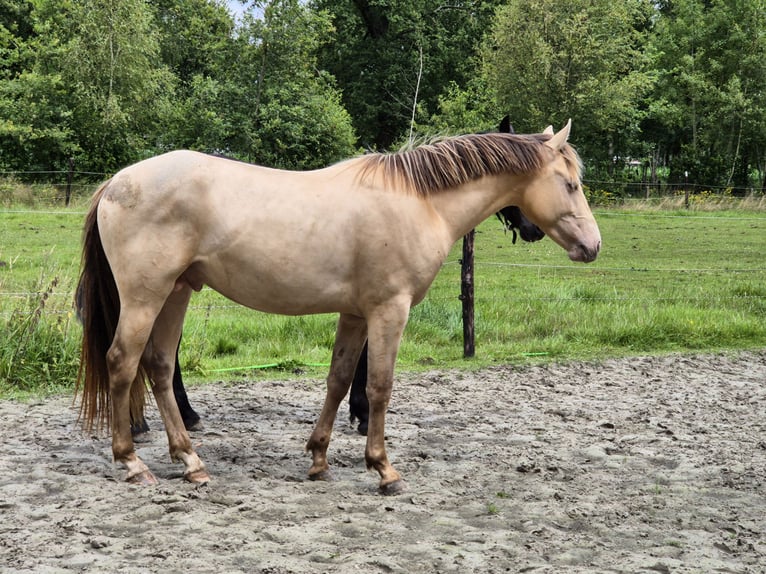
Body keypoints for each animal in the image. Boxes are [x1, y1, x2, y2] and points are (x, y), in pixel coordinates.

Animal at [76, 120, 600, 496]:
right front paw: (384, 469)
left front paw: (318, 460)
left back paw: (191, 462)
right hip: (146, 297)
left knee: (160, 367)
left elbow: (339, 379)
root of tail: (116, 182)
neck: (419, 201)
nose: (593, 246)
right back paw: (131, 462)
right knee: (122, 363)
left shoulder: (355, 315)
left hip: (177, 293)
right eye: (570, 183)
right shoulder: (390, 311)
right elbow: (380, 387)